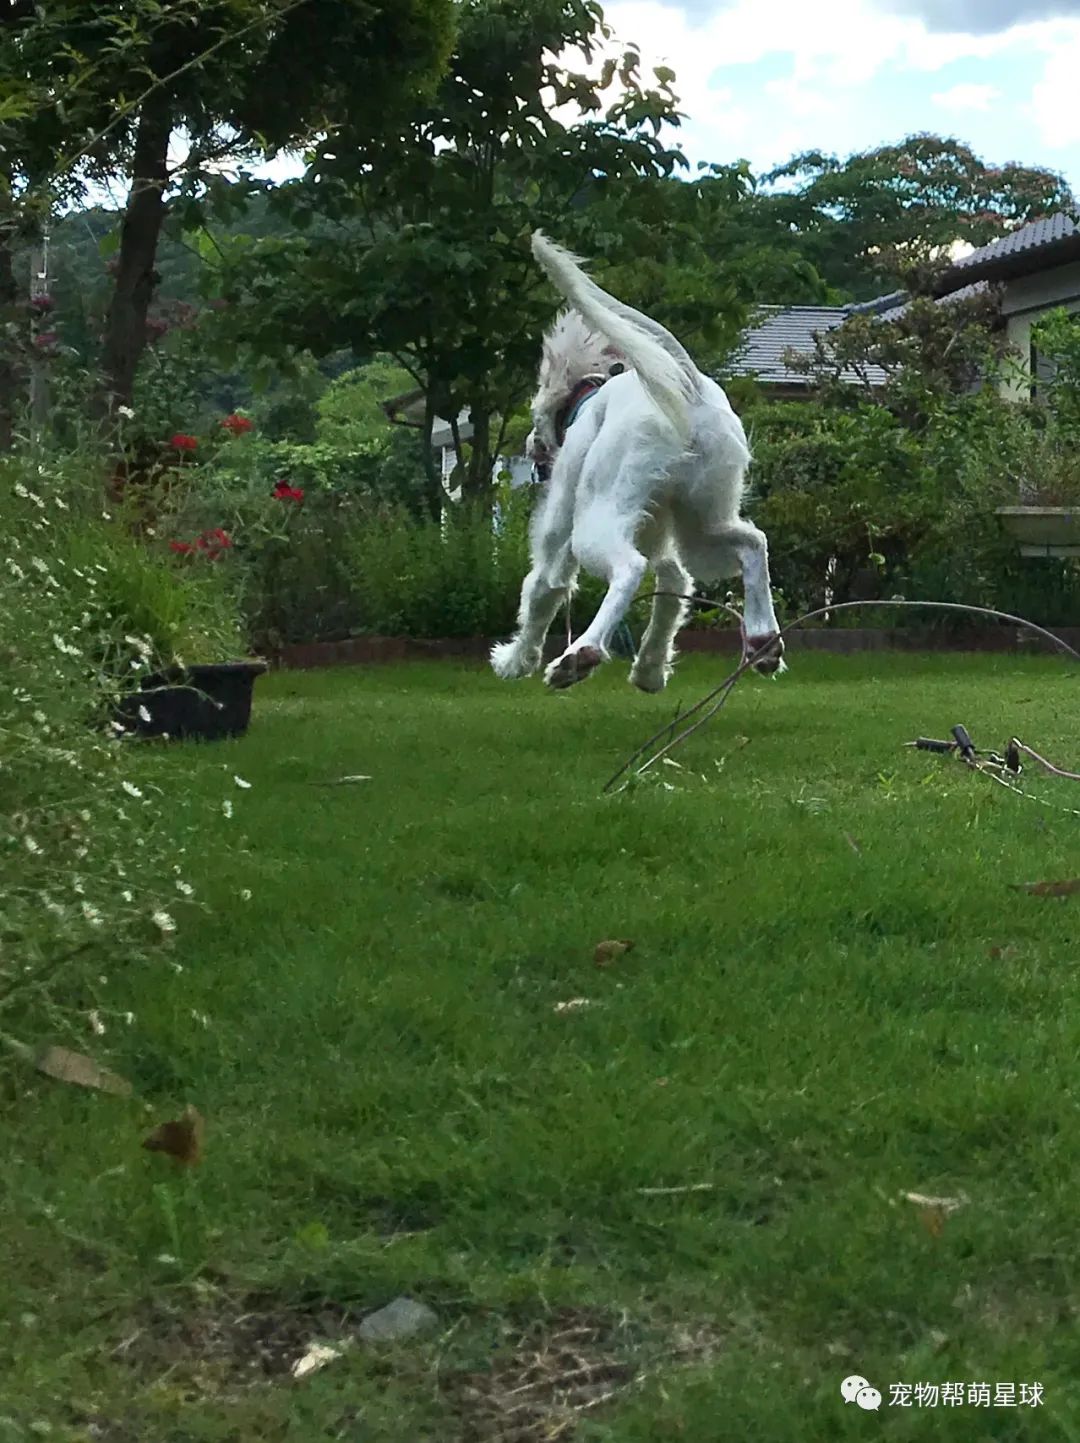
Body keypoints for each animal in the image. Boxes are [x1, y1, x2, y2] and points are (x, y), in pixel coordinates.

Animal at [490, 232, 785, 692]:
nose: (530, 442)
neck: (587, 398)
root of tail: (688, 387)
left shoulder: (558, 532)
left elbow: (542, 590)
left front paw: (515, 660)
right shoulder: (664, 542)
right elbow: (672, 589)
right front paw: (650, 668)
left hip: (597, 522)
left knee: (629, 569)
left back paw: (580, 655)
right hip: (701, 524)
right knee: (753, 544)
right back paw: (763, 640)